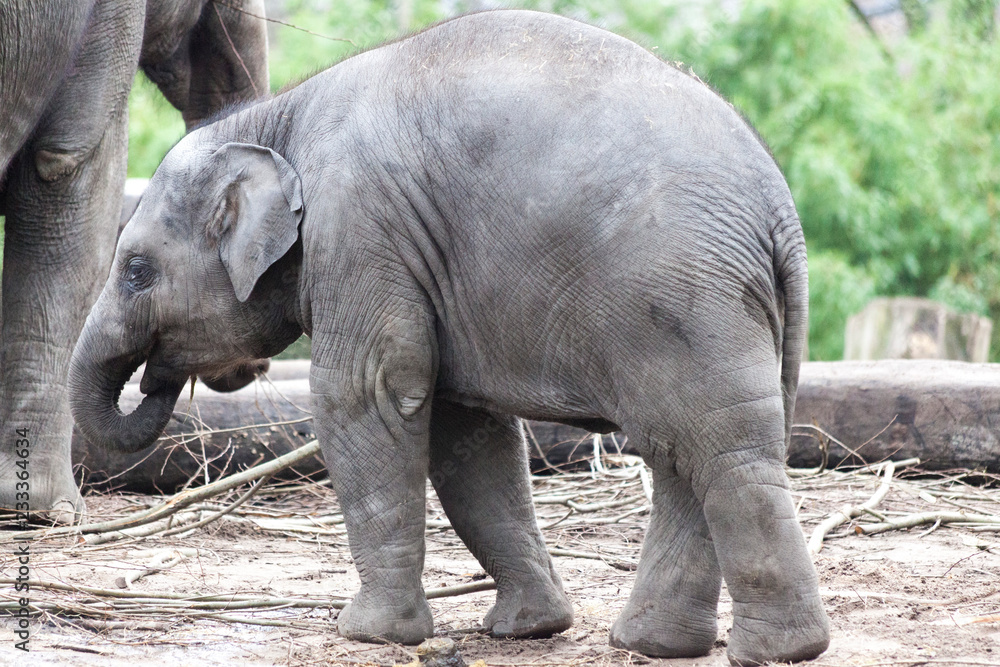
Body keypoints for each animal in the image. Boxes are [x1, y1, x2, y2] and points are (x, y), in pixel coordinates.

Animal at [68, 10, 830, 666]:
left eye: (135, 270)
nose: (158, 377)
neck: (279, 115)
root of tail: (780, 211)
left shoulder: (360, 229)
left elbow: (367, 393)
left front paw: (369, 633)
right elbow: (464, 433)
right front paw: (528, 629)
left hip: (683, 298)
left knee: (722, 452)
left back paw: (779, 651)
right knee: (682, 457)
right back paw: (651, 644)